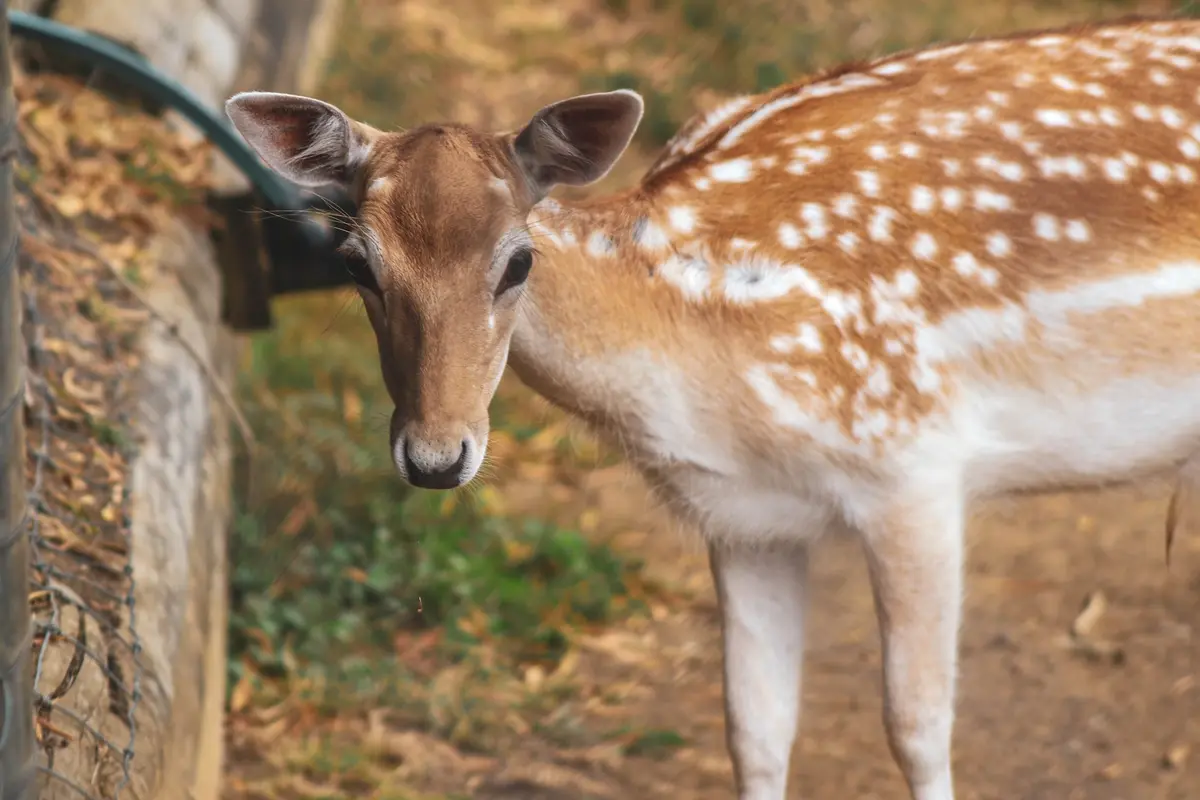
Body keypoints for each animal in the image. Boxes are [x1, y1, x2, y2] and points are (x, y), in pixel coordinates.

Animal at [229, 15, 1200, 796]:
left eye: (518, 261)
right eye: (356, 264)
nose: (436, 456)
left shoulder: (913, 458)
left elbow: (917, 727)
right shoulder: (745, 516)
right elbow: (754, 730)